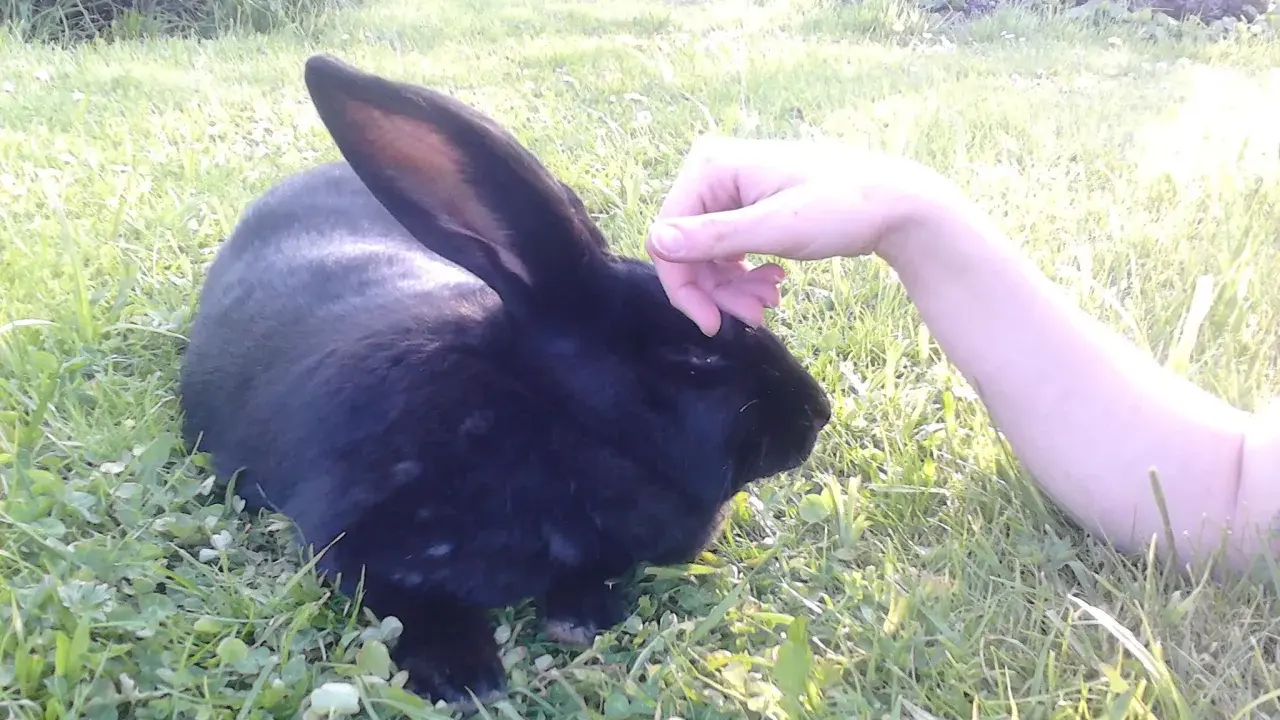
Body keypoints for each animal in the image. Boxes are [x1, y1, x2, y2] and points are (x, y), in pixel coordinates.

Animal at [178, 53, 832, 708]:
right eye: (695, 358)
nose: (817, 414)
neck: (551, 414)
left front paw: (580, 615)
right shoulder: (347, 538)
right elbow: (402, 602)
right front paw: (465, 674)